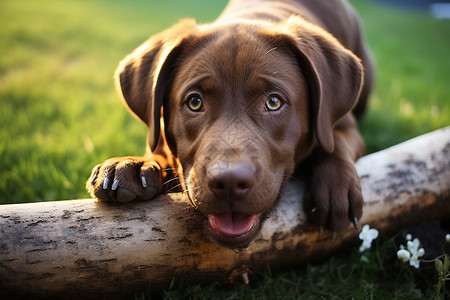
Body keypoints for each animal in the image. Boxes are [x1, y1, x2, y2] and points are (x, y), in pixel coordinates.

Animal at [87, 0, 372, 248]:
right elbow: (157, 149)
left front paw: (336, 187)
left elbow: (334, 142)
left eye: (273, 102)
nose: (229, 183)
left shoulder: (346, 125)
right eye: (194, 102)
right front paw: (132, 165)